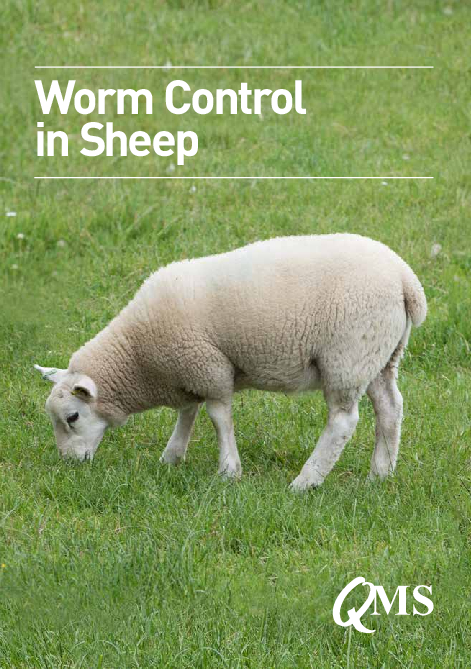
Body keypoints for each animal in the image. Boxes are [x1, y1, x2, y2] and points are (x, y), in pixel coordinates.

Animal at [34, 234, 426, 490]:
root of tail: (405, 279)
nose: (68, 463)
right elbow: (187, 413)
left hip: (347, 356)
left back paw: (306, 481)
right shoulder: (188, 370)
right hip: (380, 355)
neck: (136, 357)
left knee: (343, 421)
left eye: (72, 417)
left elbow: (218, 416)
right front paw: (172, 457)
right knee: (390, 408)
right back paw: (380, 474)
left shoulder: (209, 367)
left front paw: (228, 470)